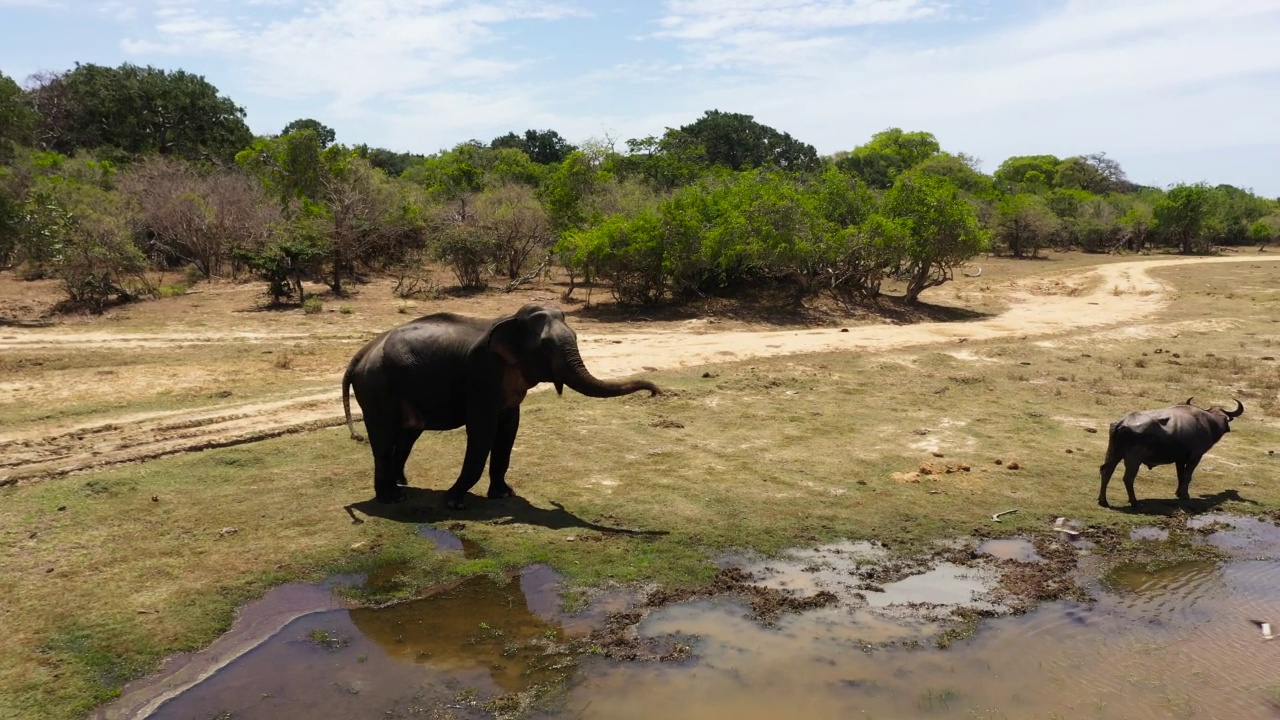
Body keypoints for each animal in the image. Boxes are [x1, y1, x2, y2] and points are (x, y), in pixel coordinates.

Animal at [343, 301, 660, 504]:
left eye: (576, 337)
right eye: (546, 347)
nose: (654, 392)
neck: (510, 320)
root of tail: (359, 355)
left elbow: (509, 429)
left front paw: (504, 494)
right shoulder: (482, 376)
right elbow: (482, 432)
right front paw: (453, 500)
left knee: (408, 435)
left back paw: (402, 485)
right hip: (376, 388)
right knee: (384, 439)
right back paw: (391, 498)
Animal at [1095, 394, 1244, 507]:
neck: (1208, 422)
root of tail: (1121, 423)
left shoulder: (1179, 459)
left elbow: (1180, 475)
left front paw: (1178, 493)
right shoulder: (1196, 456)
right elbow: (1188, 476)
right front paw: (1185, 495)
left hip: (1113, 454)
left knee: (1106, 471)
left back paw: (1103, 501)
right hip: (1133, 460)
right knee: (1128, 478)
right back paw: (1134, 502)